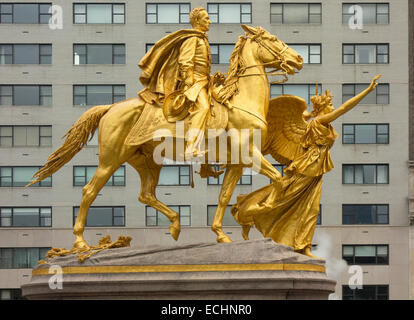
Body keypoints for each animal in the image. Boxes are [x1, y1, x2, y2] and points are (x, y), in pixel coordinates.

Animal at [27, 25, 302, 250]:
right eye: (273, 39)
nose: (298, 59)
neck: (241, 103)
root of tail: (110, 107)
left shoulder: (237, 163)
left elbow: (224, 197)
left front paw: (222, 234)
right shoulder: (250, 155)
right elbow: (279, 179)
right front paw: (264, 208)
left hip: (146, 161)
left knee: (146, 194)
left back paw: (175, 224)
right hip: (111, 159)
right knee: (89, 191)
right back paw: (80, 243)